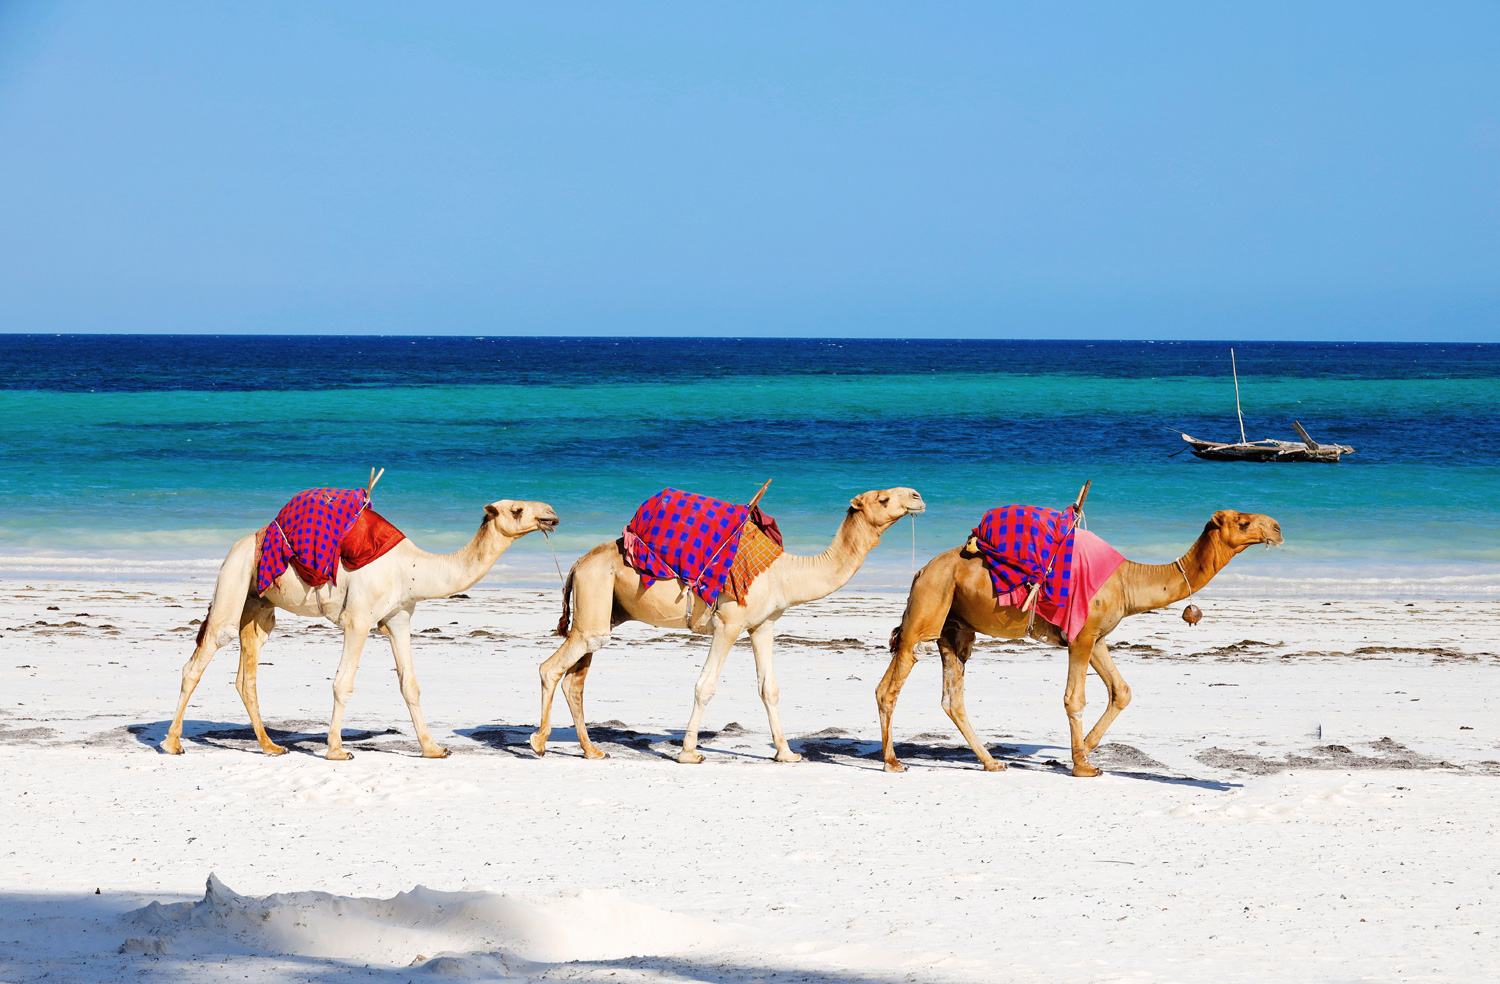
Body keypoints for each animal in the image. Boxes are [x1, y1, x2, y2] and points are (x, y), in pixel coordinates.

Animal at [162, 498, 559, 760]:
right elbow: (343, 683)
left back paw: (271, 746)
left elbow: (410, 685)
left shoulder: (399, 618)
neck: (411, 569)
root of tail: (240, 543)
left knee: (247, 675)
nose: (551, 515)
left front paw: (433, 748)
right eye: (517, 510)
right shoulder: (358, 619)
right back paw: (172, 743)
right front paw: (337, 750)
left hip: (258, 604)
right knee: (203, 654)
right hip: (234, 579)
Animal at [530, 488, 925, 764]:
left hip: (602, 608)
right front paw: (689, 753)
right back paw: (538, 743)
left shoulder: (763, 625)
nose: (917, 497)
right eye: (884, 497)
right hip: (595, 594)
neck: (785, 574)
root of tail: (578, 563)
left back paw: (591, 750)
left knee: (575, 679)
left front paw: (787, 754)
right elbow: (705, 685)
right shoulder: (728, 623)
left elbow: (769, 688)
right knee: (551, 668)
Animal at [876, 509, 1282, 777]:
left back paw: (992, 762)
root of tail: (920, 571)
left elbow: (1121, 691)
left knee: (952, 697)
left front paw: (1081, 751)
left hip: (955, 627)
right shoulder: (1081, 637)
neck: (1128, 580)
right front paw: (1083, 766)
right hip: (927, 609)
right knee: (891, 685)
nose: (1278, 529)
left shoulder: (1096, 636)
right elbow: (1075, 698)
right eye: (1244, 522)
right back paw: (893, 762)